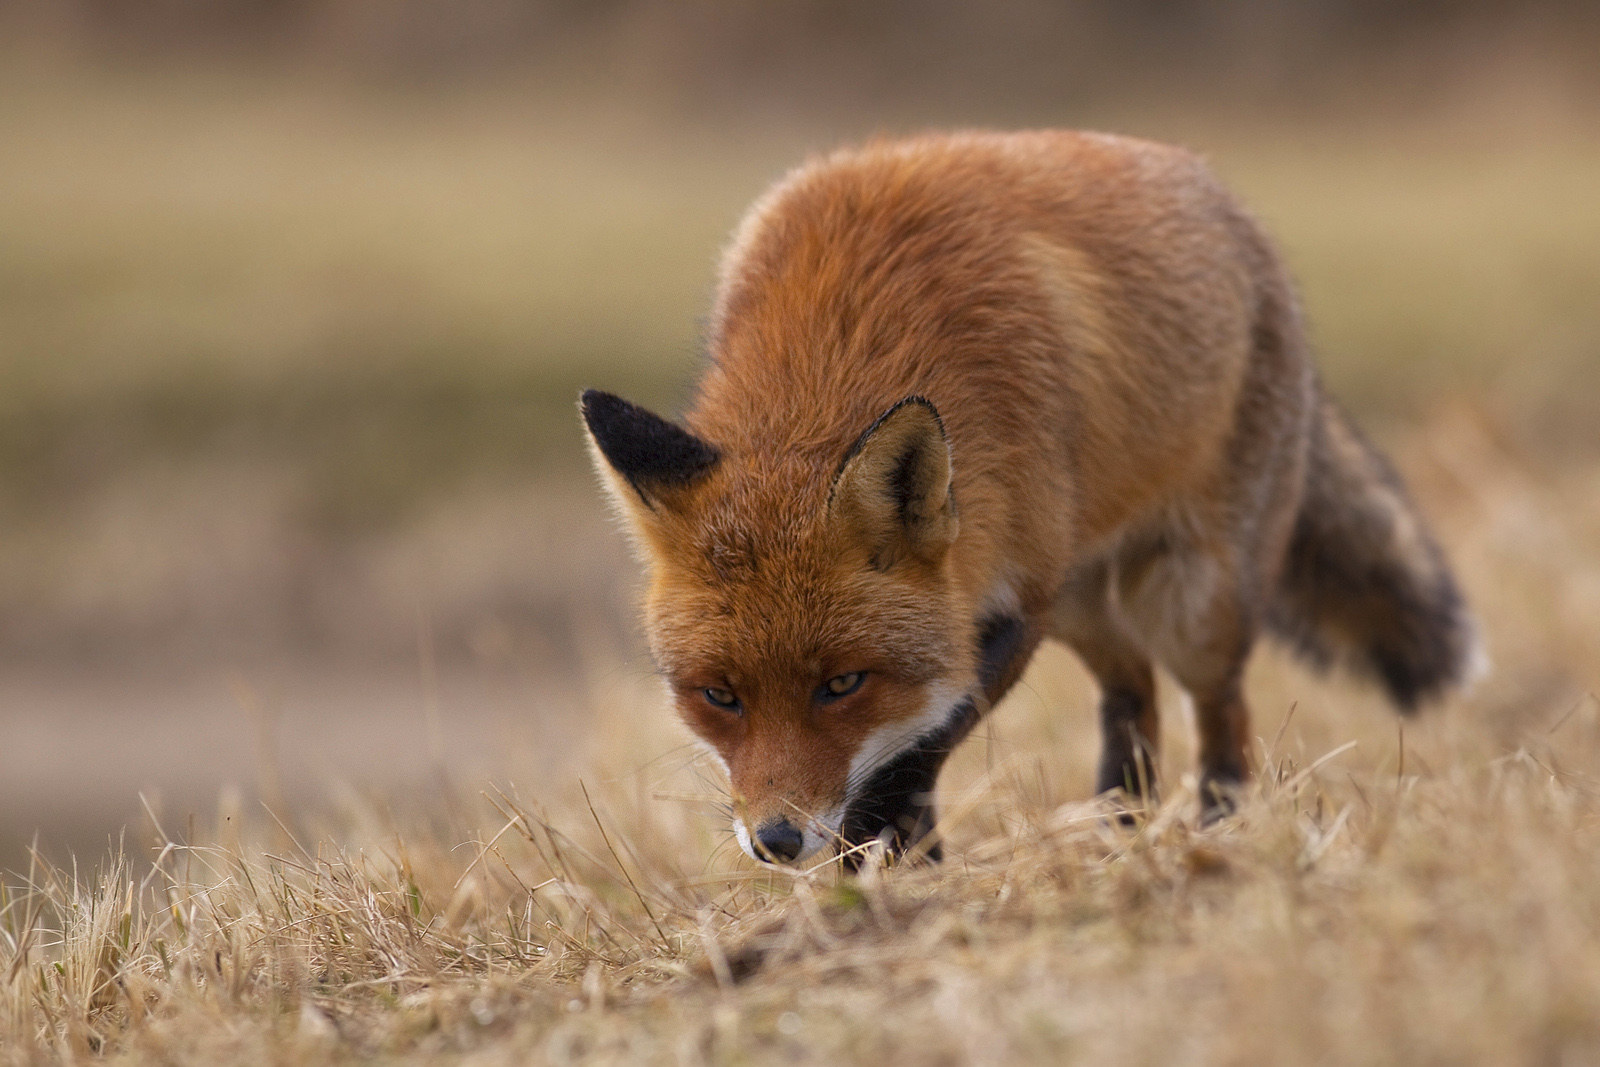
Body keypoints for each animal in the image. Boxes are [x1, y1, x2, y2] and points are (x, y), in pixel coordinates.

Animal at [581, 130, 1477, 866]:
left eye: (842, 684)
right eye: (719, 696)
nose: (776, 840)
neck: (843, 334)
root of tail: (1232, 203)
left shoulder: (1015, 601)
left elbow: (911, 752)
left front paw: (888, 864)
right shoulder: (1015, 597)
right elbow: (906, 764)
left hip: (1184, 599)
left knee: (1220, 711)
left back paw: (1216, 831)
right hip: (1087, 602)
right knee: (1132, 696)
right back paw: (1119, 828)